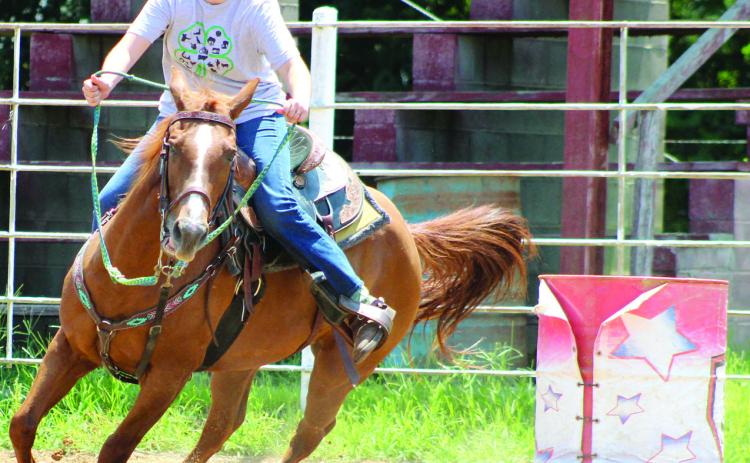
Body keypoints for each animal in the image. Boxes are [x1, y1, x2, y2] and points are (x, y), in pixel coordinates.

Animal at [9, 71, 534, 463]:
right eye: (172, 146)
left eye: (228, 156)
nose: (189, 232)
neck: (139, 282)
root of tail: (408, 231)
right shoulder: (69, 346)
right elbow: (22, 424)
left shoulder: (168, 376)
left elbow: (115, 448)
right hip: (239, 359)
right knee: (223, 426)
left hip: (341, 363)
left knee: (310, 429)